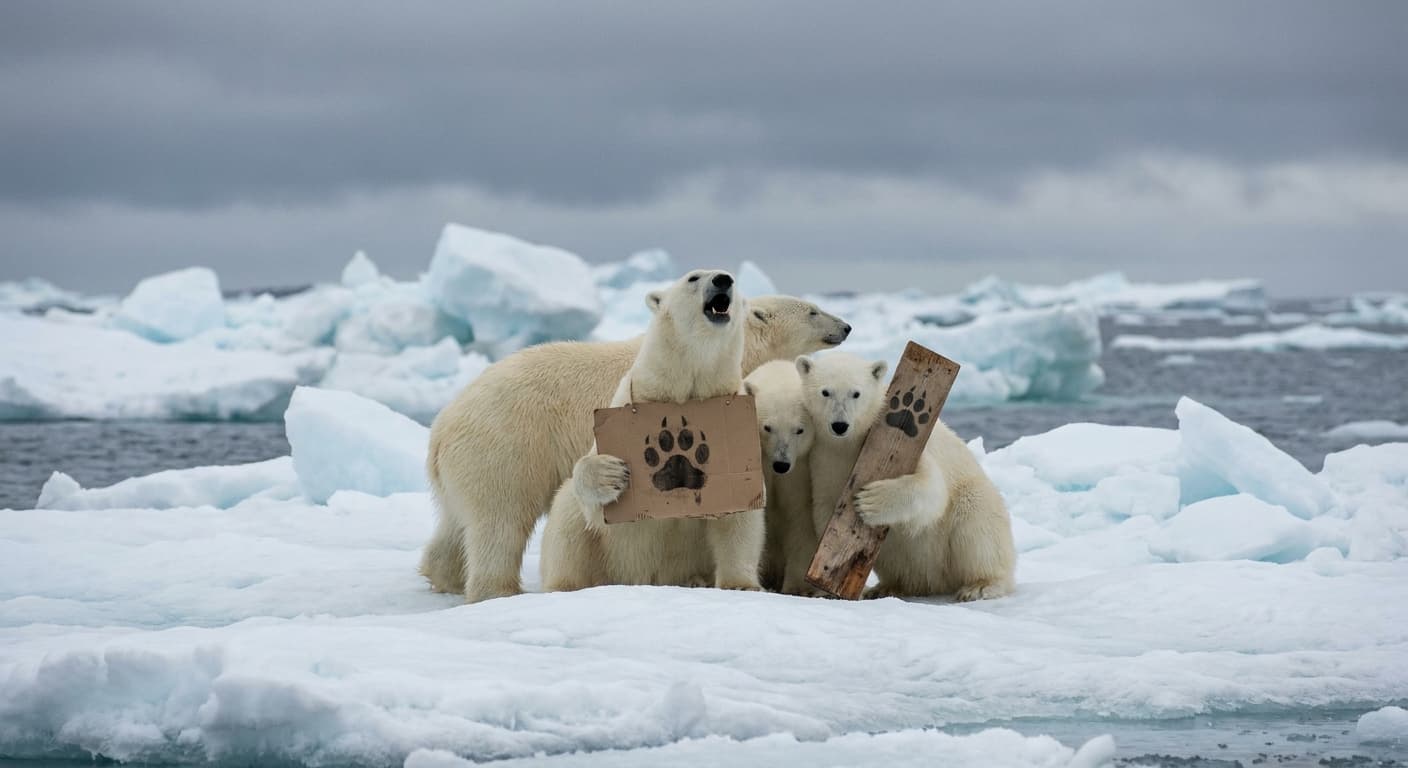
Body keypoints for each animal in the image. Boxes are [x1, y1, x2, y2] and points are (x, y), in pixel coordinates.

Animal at [539, 269, 765, 591]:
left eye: (733, 278)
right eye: (693, 278)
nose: (723, 280)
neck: (684, 389)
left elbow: (740, 516)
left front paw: (741, 585)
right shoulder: (628, 401)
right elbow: (595, 505)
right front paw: (610, 473)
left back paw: (695, 581)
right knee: (567, 519)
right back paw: (565, 586)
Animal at [743, 360, 820, 595]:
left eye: (799, 430)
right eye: (768, 427)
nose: (781, 464)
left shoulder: (801, 472)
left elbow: (801, 516)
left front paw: (797, 587)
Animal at [797, 352, 1016, 601]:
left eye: (856, 393)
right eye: (825, 392)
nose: (840, 425)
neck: (851, 443)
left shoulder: (913, 443)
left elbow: (932, 488)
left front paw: (870, 501)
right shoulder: (826, 459)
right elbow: (827, 508)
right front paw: (825, 585)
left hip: (971, 504)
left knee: (978, 522)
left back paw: (981, 586)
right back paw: (885, 587)